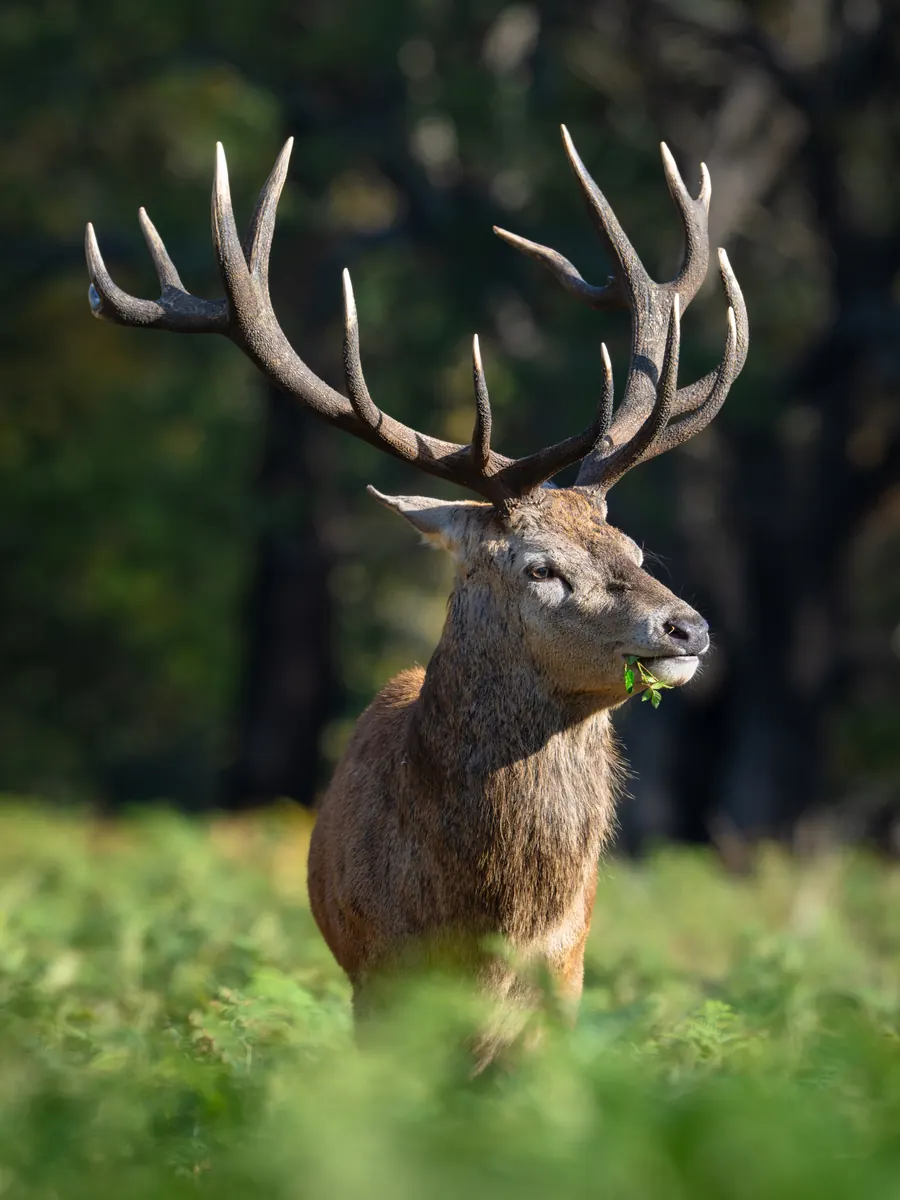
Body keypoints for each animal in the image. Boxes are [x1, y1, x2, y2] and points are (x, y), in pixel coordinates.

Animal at [85, 125, 748, 1066]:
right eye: (539, 567)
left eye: (631, 546)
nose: (687, 626)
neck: (486, 925)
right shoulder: (379, 978)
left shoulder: (568, 983)